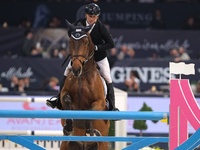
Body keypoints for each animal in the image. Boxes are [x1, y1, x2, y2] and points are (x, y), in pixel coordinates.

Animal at [59, 19, 110, 150]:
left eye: (86, 42)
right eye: (70, 42)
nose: (76, 69)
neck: (82, 76)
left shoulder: (100, 102)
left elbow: (90, 110)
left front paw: (90, 131)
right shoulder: (64, 93)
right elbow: (66, 100)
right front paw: (68, 128)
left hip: (102, 144)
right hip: (66, 144)